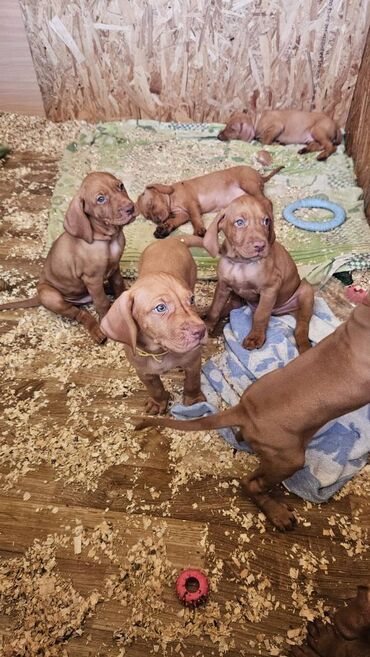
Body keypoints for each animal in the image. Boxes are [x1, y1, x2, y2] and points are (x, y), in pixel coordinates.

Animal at [99, 236, 207, 412]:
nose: (201, 331)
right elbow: (155, 388)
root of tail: (172, 239)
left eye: (191, 299)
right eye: (160, 308)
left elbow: (193, 382)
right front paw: (158, 402)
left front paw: (194, 401)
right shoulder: (144, 372)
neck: (158, 352)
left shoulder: (193, 362)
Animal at [134, 164, 282, 238]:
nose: (157, 221)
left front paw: (199, 230)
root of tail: (261, 176)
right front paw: (163, 229)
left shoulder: (192, 205)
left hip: (248, 184)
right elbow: (173, 221)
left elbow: (195, 218)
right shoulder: (183, 214)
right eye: (148, 217)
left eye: (151, 204)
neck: (172, 197)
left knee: (267, 202)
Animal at [204, 193, 314, 354]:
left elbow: (261, 315)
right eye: (239, 222)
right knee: (234, 305)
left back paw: (305, 345)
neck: (241, 263)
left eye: (266, 221)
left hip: (306, 290)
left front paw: (255, 337)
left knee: (302, 326)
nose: (261, 246)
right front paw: (207, 324)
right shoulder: (223, 285)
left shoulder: (270, 288)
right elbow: (215, 308)